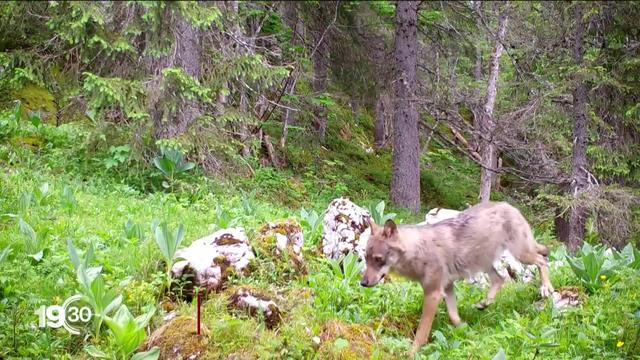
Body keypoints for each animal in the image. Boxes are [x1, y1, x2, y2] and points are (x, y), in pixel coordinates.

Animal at [360, 202, 556, 354]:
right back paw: (483, 304)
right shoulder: (447, 288)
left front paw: (411, 353)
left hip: (520, 255)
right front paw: (466, 331)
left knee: (542, 261)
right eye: (365, 258)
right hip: (486, 264)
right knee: (500, 279)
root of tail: (510, 205)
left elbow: (422, 334)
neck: (417, 251)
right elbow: (454, 317)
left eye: (378, 259)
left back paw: (546, 288)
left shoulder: (433, 294)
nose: (362, 283)